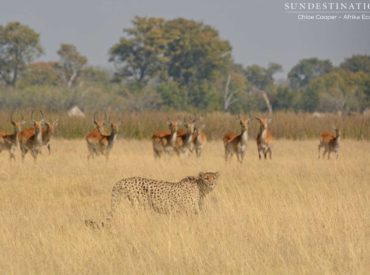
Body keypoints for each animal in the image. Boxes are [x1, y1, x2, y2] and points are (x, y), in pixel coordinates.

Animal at [86, 172, 220, 229]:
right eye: (206, 178)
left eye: (214, 177)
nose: (212, 183)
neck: (200, 188)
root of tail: (123, 180)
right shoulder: (183, 211)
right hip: (139, 205)